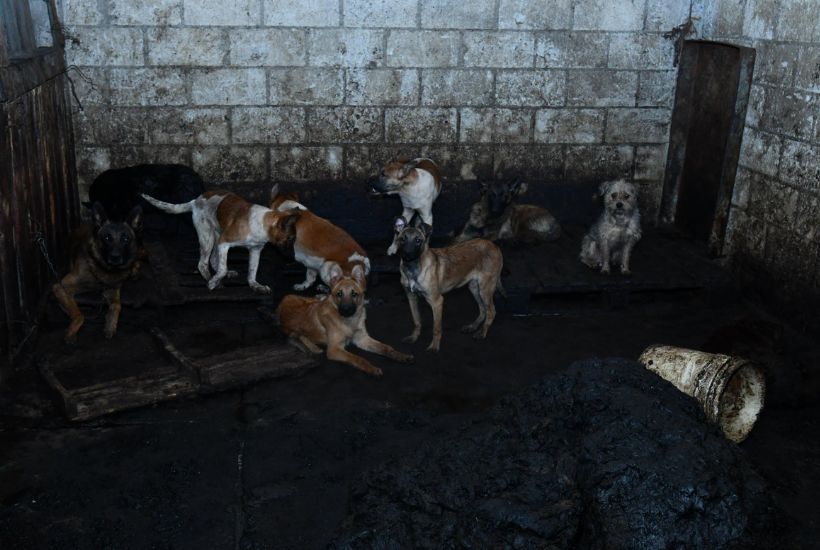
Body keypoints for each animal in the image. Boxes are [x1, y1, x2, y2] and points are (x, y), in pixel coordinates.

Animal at [52, 203, 143, 344]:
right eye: (107, 237)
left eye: (125, 239)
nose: (115, 258)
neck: (103, 268)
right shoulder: (61, 286)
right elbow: (80, 314)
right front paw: (71, 332)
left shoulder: (112, 289)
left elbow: (117, 305)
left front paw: (110, 325)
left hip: (137, 252)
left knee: (138, 258)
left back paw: (134, 272)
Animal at [143, 191, 300, 296]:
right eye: (290, 239)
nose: (294, 259)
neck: (261, 223)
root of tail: (196, 200)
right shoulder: (225, 242)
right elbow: (223, 268)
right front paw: (213, 282)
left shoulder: (255, 249)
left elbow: (252, 271)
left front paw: (256, 286)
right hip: (208, 237)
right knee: (202, 263)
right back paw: (212, 280)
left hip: (216, 235)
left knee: (213, 259)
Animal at [276, 266, 414, 378]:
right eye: (339, 294)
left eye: (354, 294)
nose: (346, 310)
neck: (349, 322)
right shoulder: (334, 349)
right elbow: (357, 358)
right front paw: (371, 368)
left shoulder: (362, 339)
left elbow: (386, 347)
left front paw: (400, 355)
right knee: (297, 336)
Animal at [394, 217, 502, 354]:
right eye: (402, 239)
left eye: (418, 241)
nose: (408, 254)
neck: (413, 269)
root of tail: (494, 245)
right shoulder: (411, 297)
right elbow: (417, 321)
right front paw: (413, 337)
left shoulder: (437, 302)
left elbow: (436, 328)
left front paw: (434, 347)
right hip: (474, 288)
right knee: (483, 309)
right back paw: (472, 327)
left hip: (485, 288)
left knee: (491, 311)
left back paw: (482, 333)